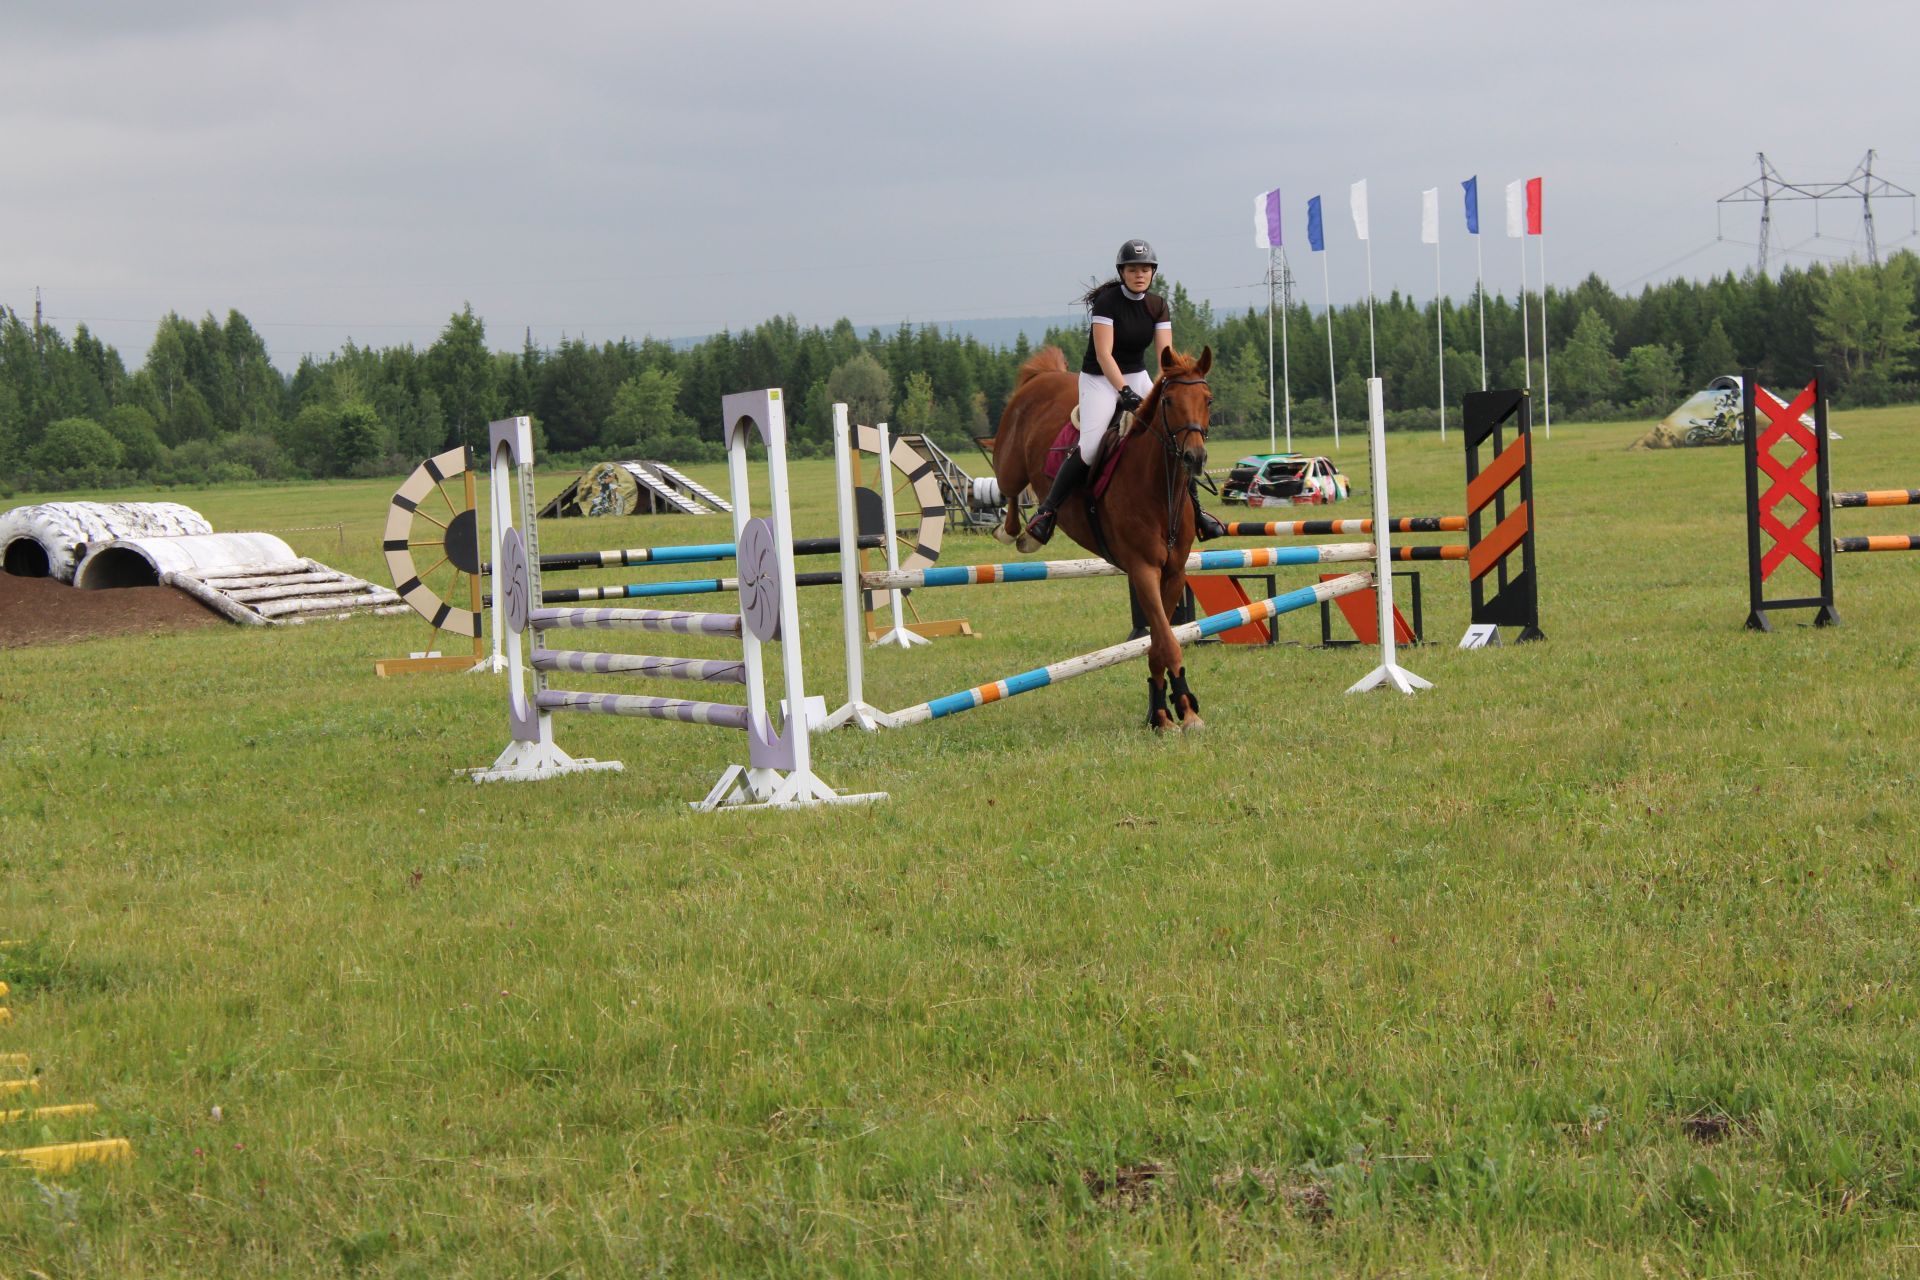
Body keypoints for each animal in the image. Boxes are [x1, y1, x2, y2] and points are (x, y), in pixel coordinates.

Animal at [990, 345, 1213, 736]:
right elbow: (1168, 643)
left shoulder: (1173, 573)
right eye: (1169, 401)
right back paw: (1024, 531)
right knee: (1010, 488)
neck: (1160, 486)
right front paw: (1179, 713)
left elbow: (1159, 643)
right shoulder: (1142, 569)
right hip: (1010, 464)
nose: (1195, 458)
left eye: (1208, 400)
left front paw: (1167, 711)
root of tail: (1044, 376)